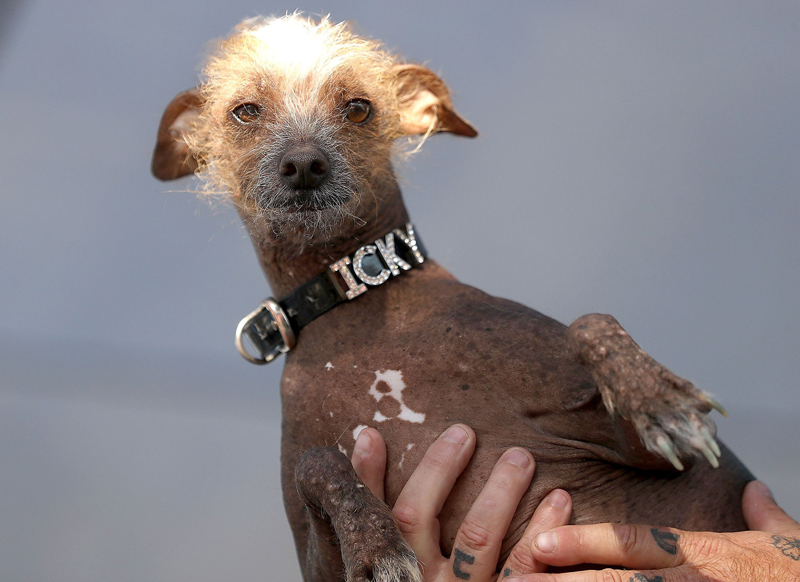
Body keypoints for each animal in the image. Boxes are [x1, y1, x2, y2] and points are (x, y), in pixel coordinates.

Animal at [152, 13, 756, 582]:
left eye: (358, 107)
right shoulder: (318, 564)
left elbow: (590, 322)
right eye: (245, 112)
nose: (303, 163)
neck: (357, 298)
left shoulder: (650, 460)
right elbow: (318, 463)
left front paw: (660, 402)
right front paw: (376, 544)